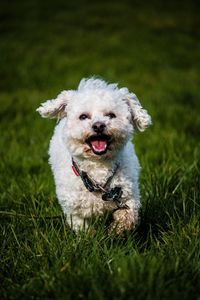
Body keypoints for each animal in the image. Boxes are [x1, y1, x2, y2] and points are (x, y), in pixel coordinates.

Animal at [36, 77, 151, 234]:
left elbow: (127, 216)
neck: (98, 167)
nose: (98, 125)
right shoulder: (74, 211)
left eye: (111, 115)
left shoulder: (128, 196)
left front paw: (115, 230)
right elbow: (84, 229)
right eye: (83, 116)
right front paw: (92, 236)